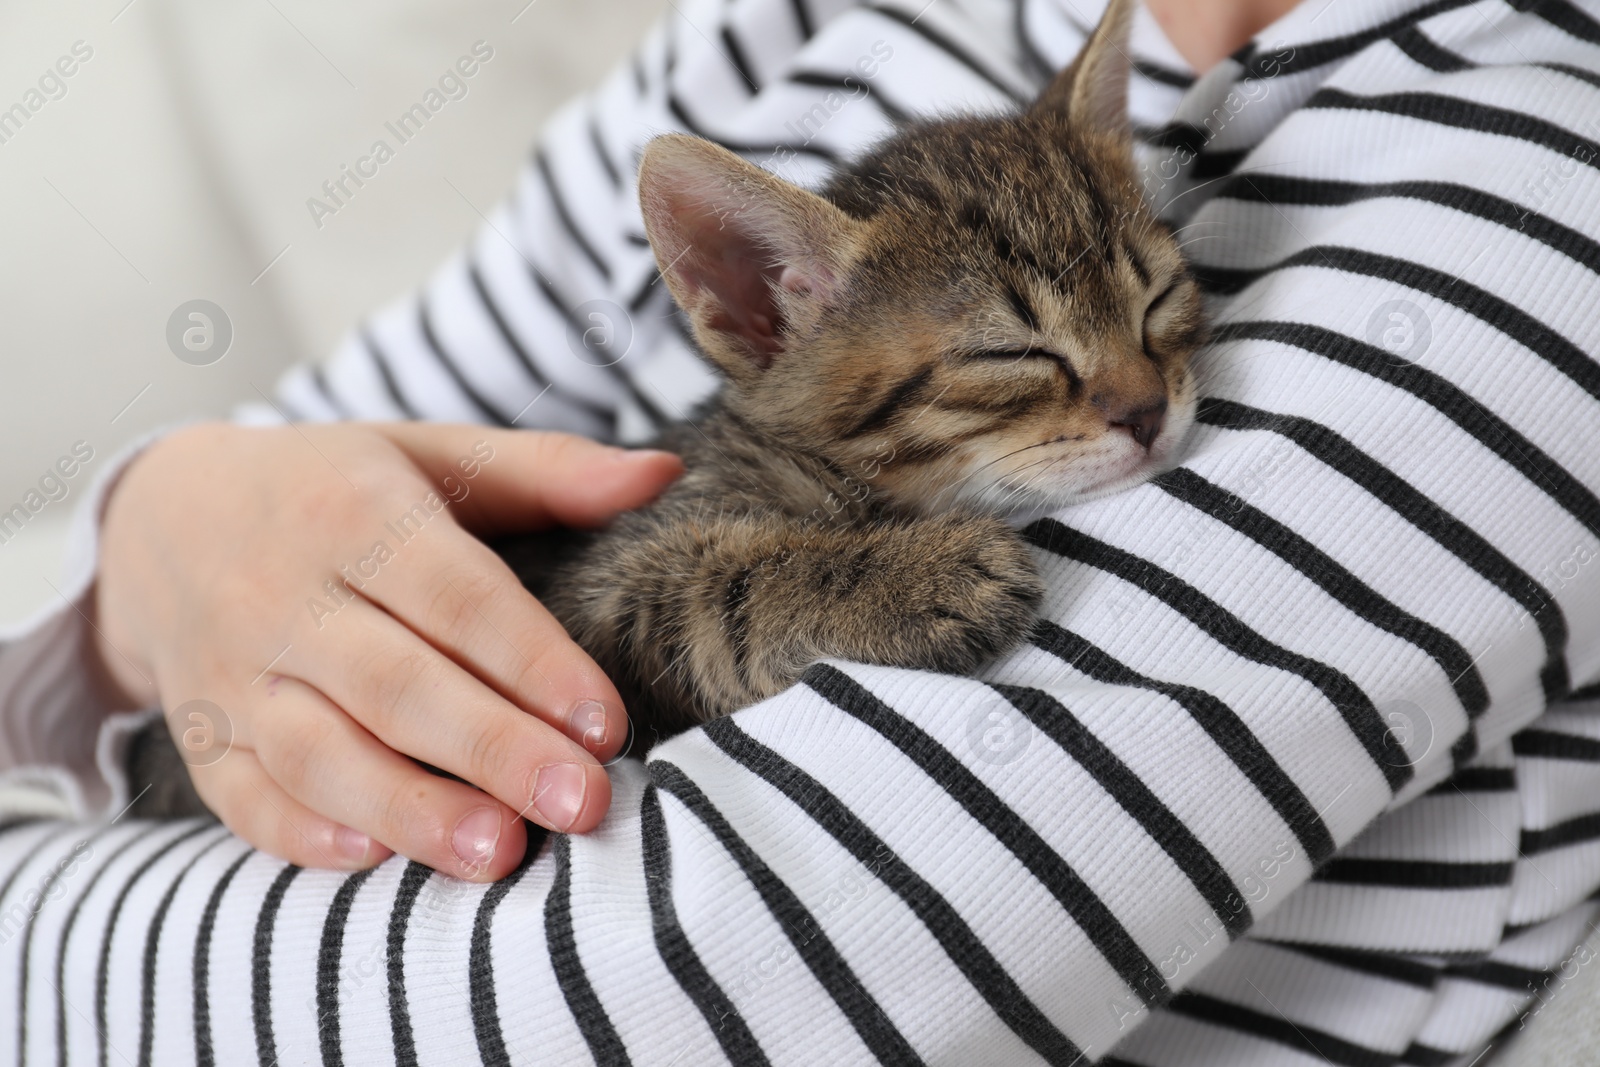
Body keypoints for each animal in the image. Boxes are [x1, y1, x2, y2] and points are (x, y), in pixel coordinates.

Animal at [492, 0, 1203, 742]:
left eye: (1158, 300)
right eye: (1011, 353)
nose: (1149, 412)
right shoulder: (597, 588)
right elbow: (714, 591)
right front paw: (918, 578)